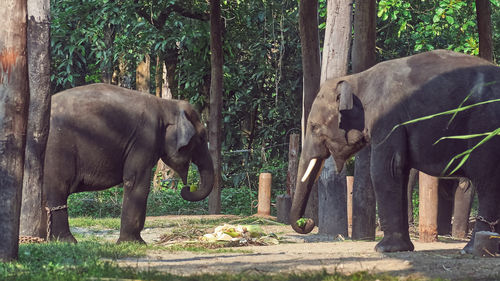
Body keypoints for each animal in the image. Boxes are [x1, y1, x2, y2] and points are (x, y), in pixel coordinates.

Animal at [44, 83, 214, 243]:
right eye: (202, 137)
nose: (187, 188)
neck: (166, 104)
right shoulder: (145, 139)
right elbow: (136, 181)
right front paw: (135, 243)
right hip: (56, 148)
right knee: (58, 188)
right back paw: (67, 241)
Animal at [290, 49, 500, 253]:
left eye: (314, 127)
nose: (307, 222)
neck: (358, 78)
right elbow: (400, 170)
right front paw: (403, 248)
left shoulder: (388, 119)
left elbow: (386, 169)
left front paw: (384, 249)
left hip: (485, 125)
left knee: (487, 180)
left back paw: (471, 250)